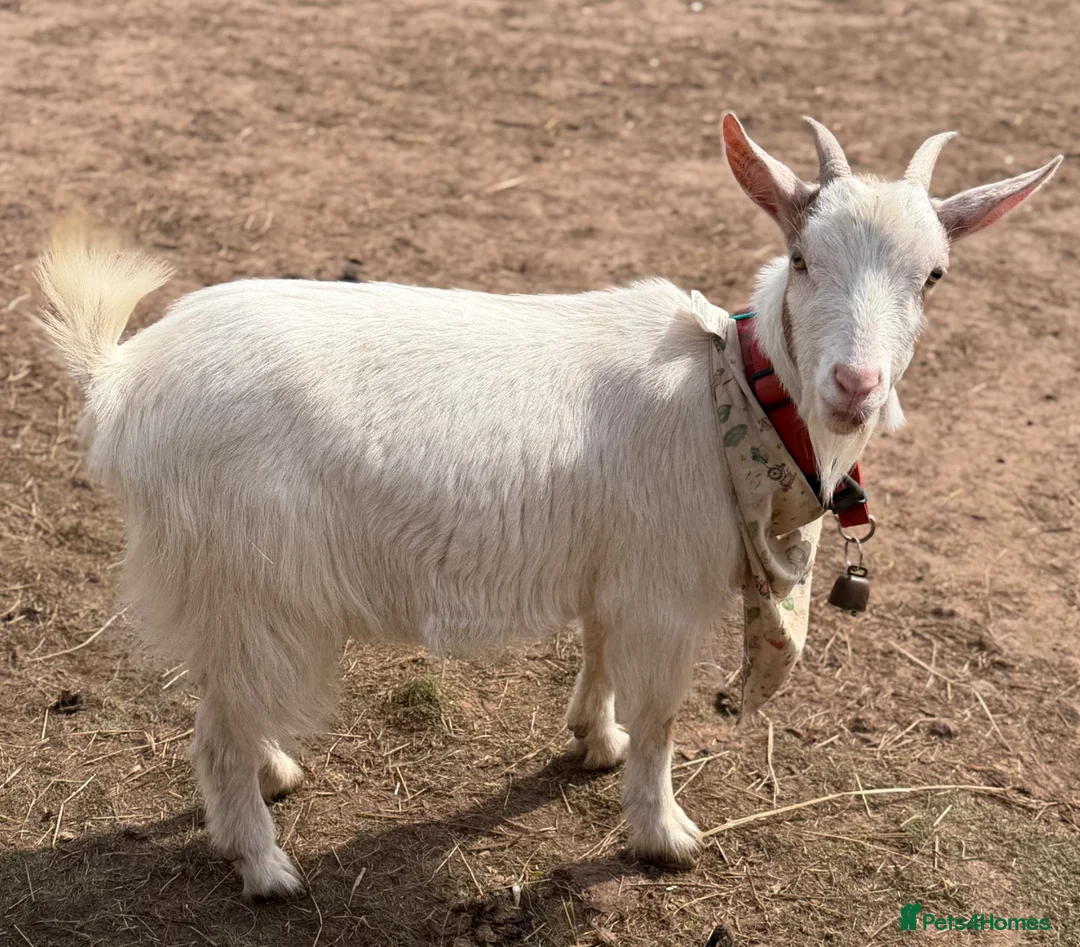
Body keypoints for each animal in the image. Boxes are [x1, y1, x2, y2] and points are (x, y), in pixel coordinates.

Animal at [37, 114, 1061, 900]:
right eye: (802, 257)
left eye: (934, 277)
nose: (856, 385)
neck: (734, 399)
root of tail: (124, 378)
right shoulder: (664, 590)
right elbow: (663, 717)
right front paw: (663, 833)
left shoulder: (617, 570)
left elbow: (599, 656)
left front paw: (593, 742)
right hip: (251, 577)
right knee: (214, 733)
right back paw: (265, 866)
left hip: (234, 588)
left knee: (225, 703)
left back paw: (275, 769)